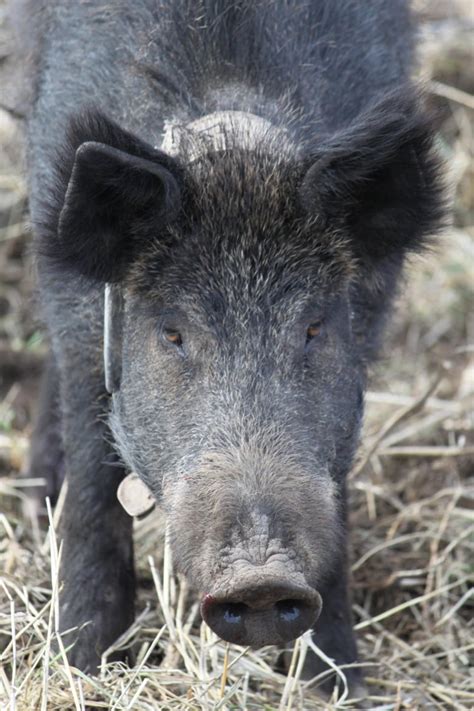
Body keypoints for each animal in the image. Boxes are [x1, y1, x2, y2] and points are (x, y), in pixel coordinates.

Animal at [21, 0, 444, 700]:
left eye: (313, 326)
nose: (262, 581)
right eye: (173, 332)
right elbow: (93, 494)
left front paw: (342, 690)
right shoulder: (77, 320)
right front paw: (79, 666)